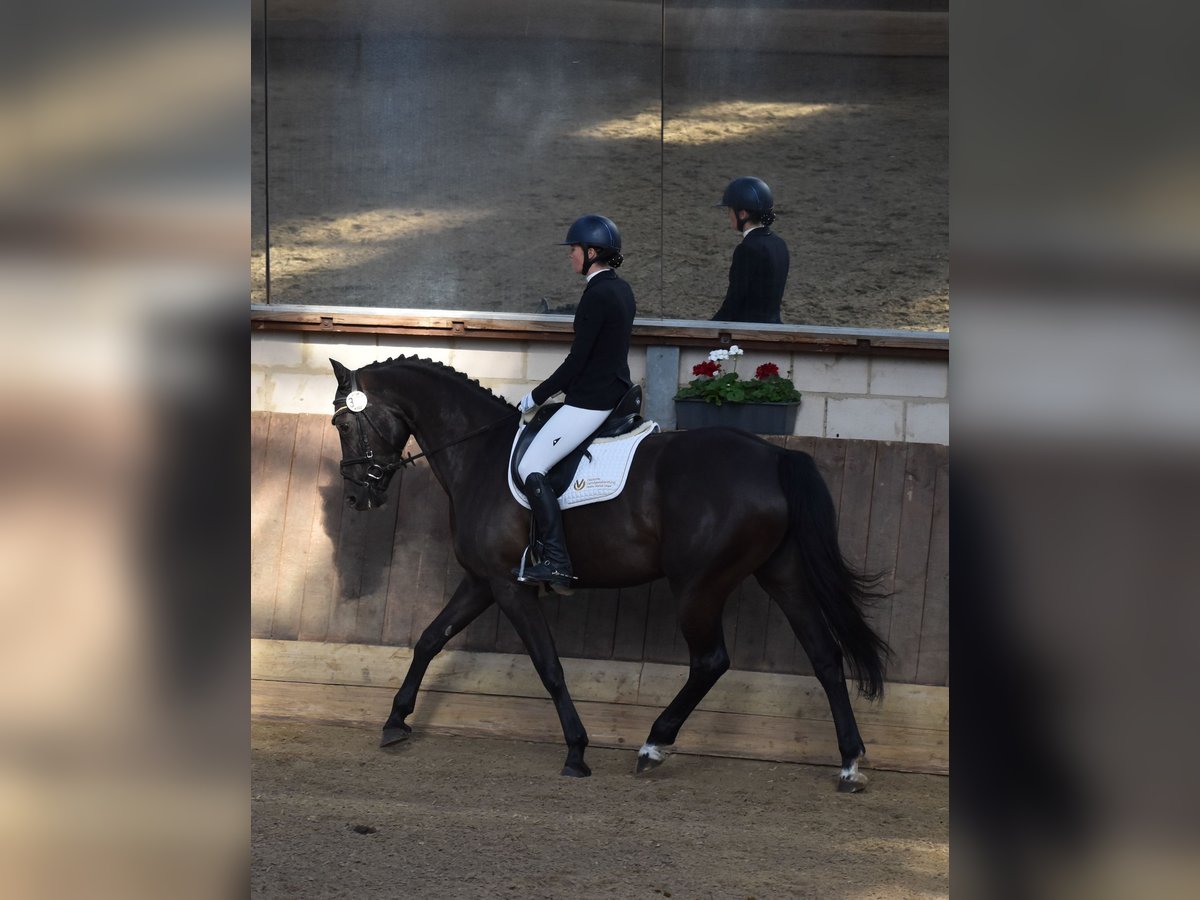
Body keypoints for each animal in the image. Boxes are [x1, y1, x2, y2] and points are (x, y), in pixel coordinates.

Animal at [328, 355, 892, 792]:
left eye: (343, 425)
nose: (358, 497)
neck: (479, 453)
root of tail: (775, 455)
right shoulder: (484, 581)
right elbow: (430, 638)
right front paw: (395, 721)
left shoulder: (510, 587)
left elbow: (548, 666)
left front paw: (577, 751)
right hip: (783, 575)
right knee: (825, 656)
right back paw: (849, 763)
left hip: (698, 585)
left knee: (711, 661)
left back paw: (653, 745)